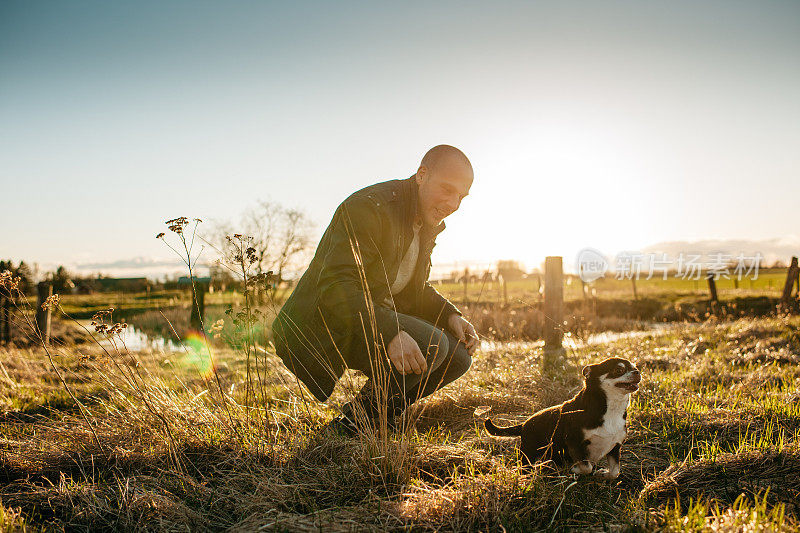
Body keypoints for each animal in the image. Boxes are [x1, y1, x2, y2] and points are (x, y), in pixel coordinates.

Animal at [484, 358, 640, 478]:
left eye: (635, 367)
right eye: (619, 370)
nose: (638, 372)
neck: (610, 409)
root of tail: (523, 425)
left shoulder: (615, 447)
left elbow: (615, 472)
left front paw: (603, 474)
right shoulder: (575, 443)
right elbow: (586, 467)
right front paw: (575, 469)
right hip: (529, 455)